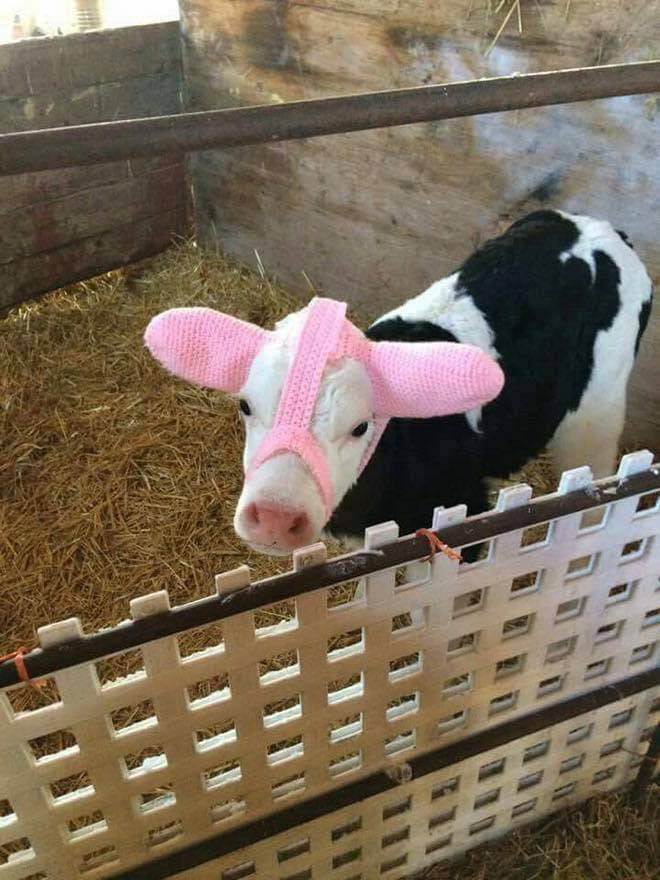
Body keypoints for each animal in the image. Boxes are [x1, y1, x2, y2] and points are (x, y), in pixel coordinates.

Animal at [144, 210, 653, 557]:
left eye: (361, 426)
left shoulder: (464, 514)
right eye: (245, 406)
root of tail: (598, 229)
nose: (273, 516)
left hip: (598, 409)